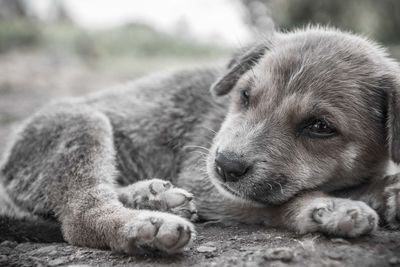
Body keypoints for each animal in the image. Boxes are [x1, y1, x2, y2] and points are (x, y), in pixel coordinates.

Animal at [0, 27, 400, 255]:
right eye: (245, 96)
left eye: (319, 127)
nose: (226, 166)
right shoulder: (205, 179)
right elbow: (278, 202)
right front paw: (329, 207)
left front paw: (384, 192)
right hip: (80, 124)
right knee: (80, 217)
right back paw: (146, 225)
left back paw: (152, 197)